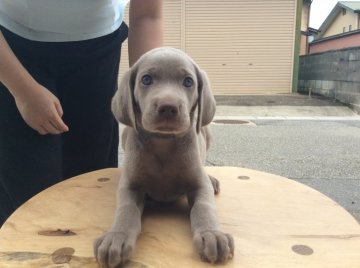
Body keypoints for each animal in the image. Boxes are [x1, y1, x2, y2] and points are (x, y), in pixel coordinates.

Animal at [93, 47, 233, 266]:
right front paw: (116, 237)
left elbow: (204, 207)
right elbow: (126, 210)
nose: (168, 107)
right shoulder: (130, 187)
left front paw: (212, 234)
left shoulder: (198, 185)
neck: (163, 145)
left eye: (188, 82)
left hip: (206, 131)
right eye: (146, 79)